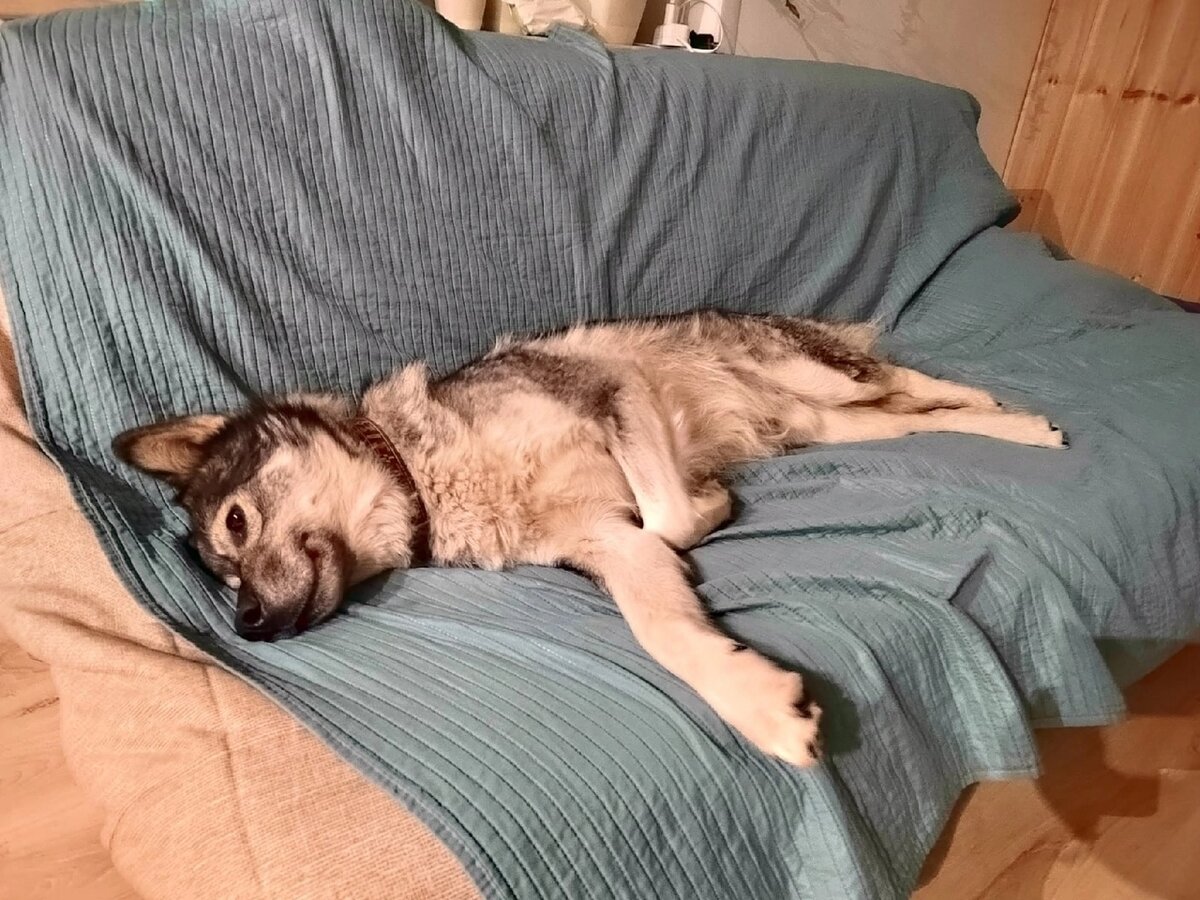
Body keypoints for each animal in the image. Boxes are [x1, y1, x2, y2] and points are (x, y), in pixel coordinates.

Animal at [115, 310, 1066, 767]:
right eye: (222, 575)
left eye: (236, 523)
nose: (247, 627)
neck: (425, 475)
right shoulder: (611, 545)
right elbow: (666, 627)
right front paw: (757, 703)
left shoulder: (612, 388)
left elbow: (671, 513)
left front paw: (710, 504)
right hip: (835, 425)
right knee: (908, 420)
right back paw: (1006, 427)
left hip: (819, 375)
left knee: (910, 380)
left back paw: (1009, 413)